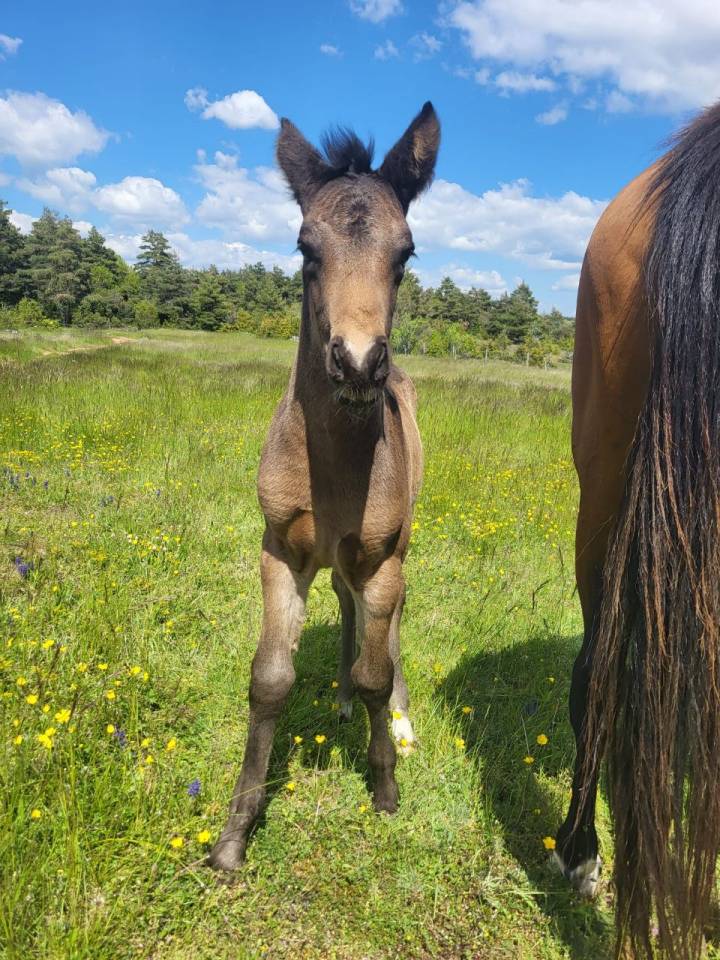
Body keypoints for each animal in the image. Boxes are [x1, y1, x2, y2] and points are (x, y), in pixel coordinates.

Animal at [208, 103, 440, 872]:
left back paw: (397, 716)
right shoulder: (280, 549)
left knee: (387, 625)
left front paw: (386, 784)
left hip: (394, 552)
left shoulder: (380, 555)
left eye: (405, 254)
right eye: (306, 249)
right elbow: (269, 679)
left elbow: (376, 668)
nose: (359, 362)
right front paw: (234, 834)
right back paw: (338, 697)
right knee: (343, 602)